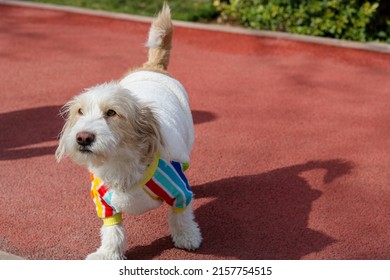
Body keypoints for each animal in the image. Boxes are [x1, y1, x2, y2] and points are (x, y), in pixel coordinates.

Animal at [56, 3, 203, 260]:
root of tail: (153, 68)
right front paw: (107, 254)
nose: (83, 137)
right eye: (80, 111)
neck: (119, 162)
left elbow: (182, 216)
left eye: (112, 113)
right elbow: (112, 231)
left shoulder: (178, 191)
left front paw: (187, 237)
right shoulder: (104, 203)